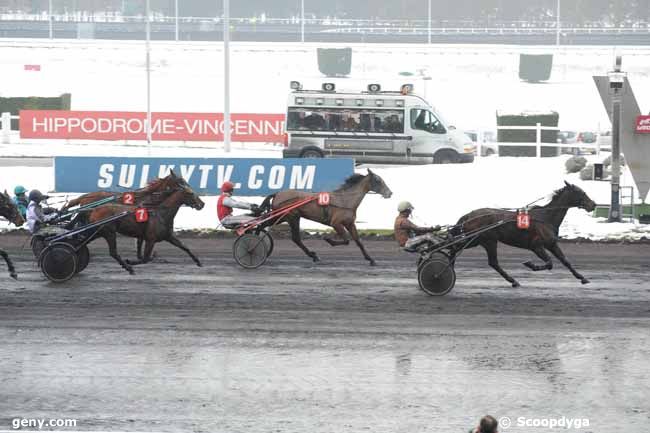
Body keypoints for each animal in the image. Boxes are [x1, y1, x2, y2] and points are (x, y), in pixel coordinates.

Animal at [260, 168, 392, 264]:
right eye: (378, 180)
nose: (390, 193)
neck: (345, 200)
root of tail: (278, 193)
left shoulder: (350, 223)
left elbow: (358, 241)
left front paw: (371, 259)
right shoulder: (336, 223)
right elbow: (346, 240)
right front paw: (328, 240)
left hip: (283, 217)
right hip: (290, 217)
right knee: (294, 238)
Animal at [454, 181, 596, 286]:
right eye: (581, 192)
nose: (593, 204)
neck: (546, 217)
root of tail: (468, 215)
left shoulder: (551, 244)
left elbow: (565, 261)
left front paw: (582, 278)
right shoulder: (536, 246)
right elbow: (549, 263)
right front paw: (531, 265)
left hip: (478, 240)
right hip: (486, 240)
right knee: (490, 261)